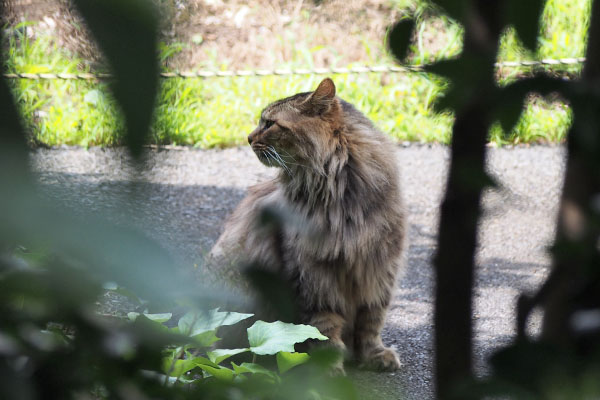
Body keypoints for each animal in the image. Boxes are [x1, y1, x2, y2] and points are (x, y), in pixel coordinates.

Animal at [209, 79, 406, 376]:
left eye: (269, 124)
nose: (248, 137)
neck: (336, 198)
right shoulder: (312, 276)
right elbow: (323, 330)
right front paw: (329, 369)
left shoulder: (378, 270)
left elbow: (371, 323)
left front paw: (374, 355)